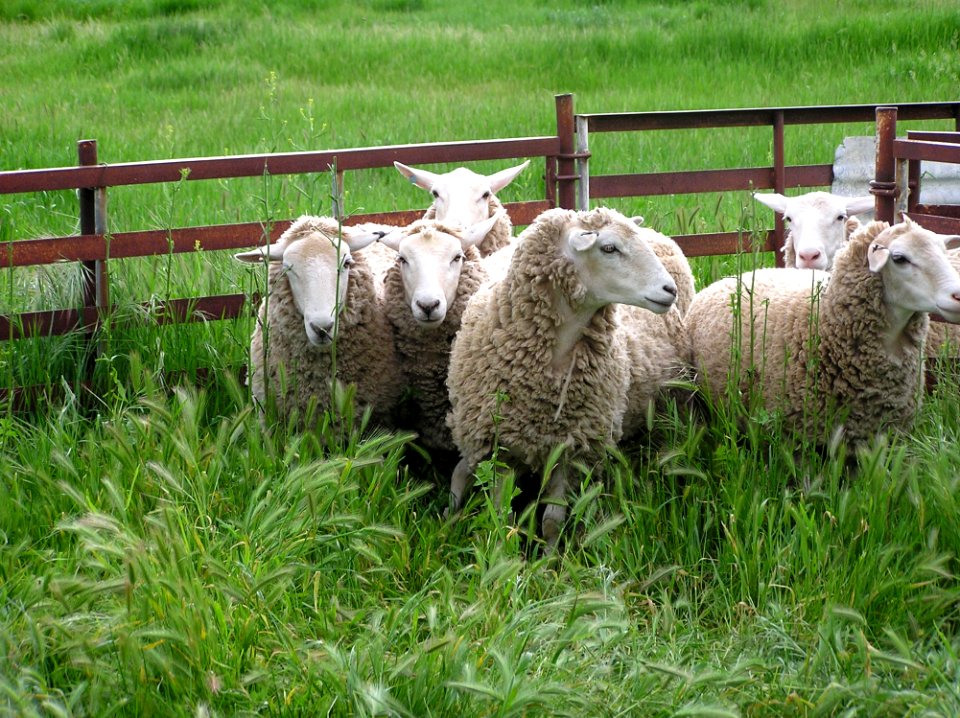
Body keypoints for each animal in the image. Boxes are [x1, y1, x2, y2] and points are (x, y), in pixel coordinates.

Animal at [446, 205, 688, 548]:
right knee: (461, 471)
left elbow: (552, 521)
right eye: (609, 248)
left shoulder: (573, 449)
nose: (669, 290)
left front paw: (549, 560)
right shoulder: (500, 448)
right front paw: (502, 553)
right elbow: (501, 515)